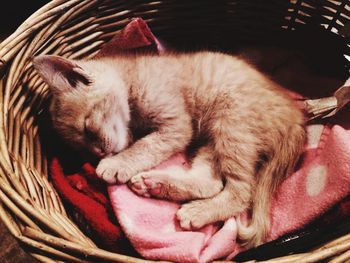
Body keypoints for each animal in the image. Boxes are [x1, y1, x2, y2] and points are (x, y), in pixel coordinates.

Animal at [32, 52, 306, 250]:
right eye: (83, 149)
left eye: (88, 129)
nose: (100, 152)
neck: (132, 76)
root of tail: (295, 117)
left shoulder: (177, 126)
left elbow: (146, 145)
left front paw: (117, 164)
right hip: (212, 140)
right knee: (211, 183)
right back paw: (156, 185)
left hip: (231, 122)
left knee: (241, 192)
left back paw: (197, 210)